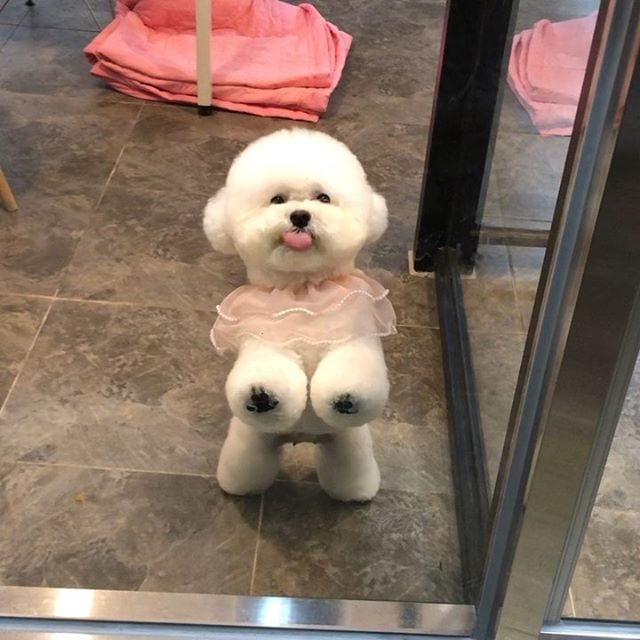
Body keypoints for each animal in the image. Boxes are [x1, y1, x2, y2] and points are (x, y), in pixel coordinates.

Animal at [205, 127, 396, 502]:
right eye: (277, 200)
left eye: (323, 198)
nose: (300, 216)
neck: (303, 291)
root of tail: (303, 437)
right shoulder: (260, 339)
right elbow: (265, 369)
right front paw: (262, 395)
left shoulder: (355, 331)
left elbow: (353, 369)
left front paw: (346, 397)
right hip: (252, 437)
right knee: (246, 462)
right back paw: (238, 486)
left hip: (347, 440)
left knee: (349, 467)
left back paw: (356, 492)